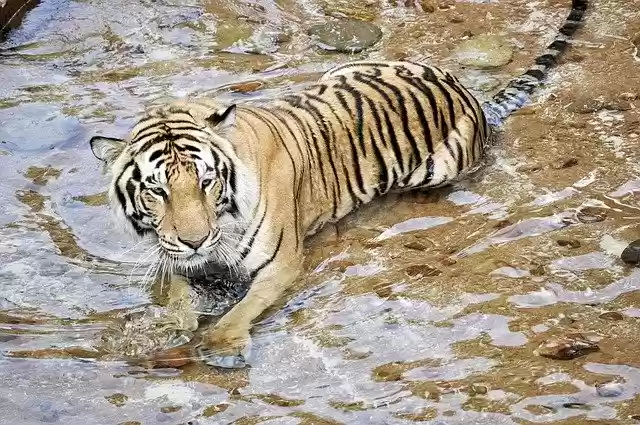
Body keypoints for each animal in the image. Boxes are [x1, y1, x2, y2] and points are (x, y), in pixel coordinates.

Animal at [89, 0, 588, 368]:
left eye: (207, 182)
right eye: (157, 190)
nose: (195, 241)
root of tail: (472, 96)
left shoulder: (281, 264)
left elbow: (242, 308)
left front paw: (222, 344)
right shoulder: (176, 258)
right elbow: (175, 292)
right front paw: (171, 324)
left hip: (438, 167)